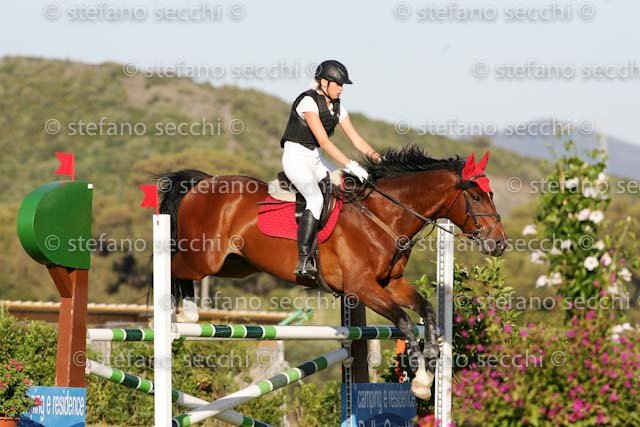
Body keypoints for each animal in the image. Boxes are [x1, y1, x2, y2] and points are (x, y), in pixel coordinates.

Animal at [156, 145, 507, 400]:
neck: (382, 215)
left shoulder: (390, 283)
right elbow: (405, 322)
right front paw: (419, 378)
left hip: (235, 265)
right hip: (204, 257)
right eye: (476, 196)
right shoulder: (361, 287)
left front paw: (427, 372)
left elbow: (428, 311)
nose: (499, 243)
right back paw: (181, 314)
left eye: (491, 194)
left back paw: (187, 313)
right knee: (172, 264)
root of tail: (203, 181)